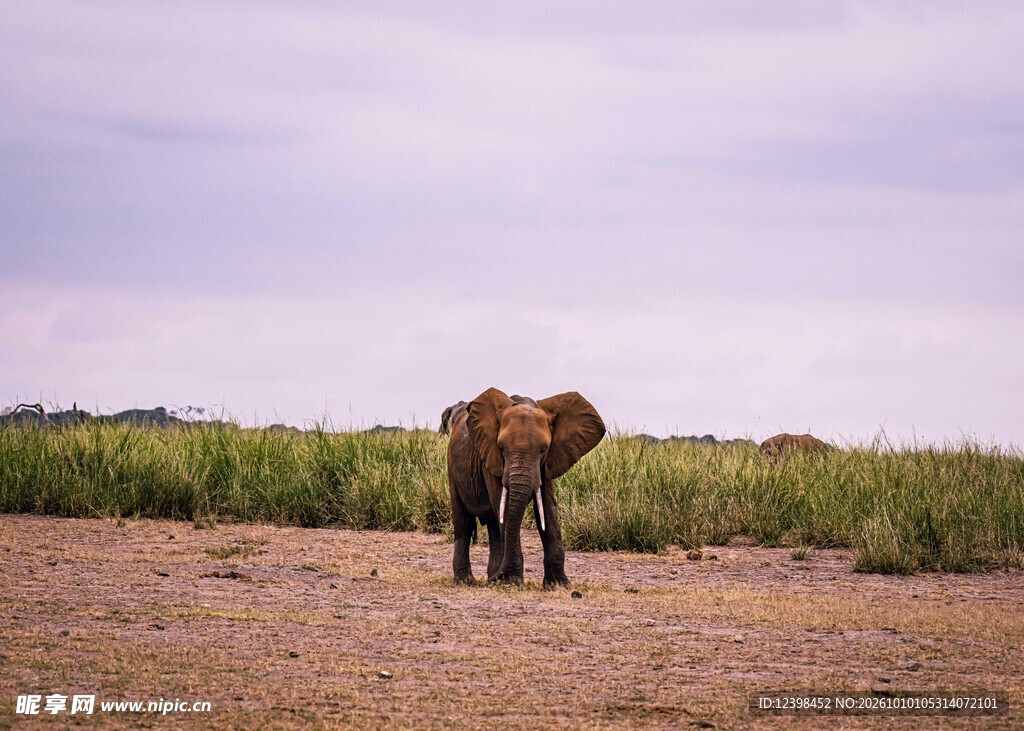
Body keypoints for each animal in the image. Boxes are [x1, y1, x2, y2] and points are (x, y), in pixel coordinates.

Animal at [447, 387, 605, 589]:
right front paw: (512, 582)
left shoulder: (548, 462)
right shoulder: (491, 457)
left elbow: (548, 508)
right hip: (452, 465)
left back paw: (491, 578)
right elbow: (505, 507)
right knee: (464, 523)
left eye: (543, 449)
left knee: (494, 526)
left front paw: (558, 586)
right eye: (502, 448)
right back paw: (467, 582)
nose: (499, 577)